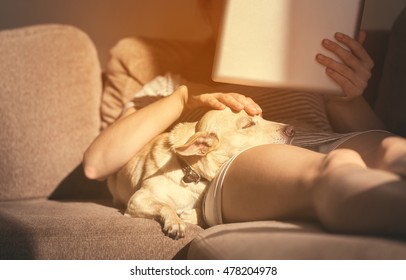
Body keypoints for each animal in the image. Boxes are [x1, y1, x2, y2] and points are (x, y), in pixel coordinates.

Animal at [106, 107, 294, 238]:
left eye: (262, 117)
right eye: (247, 125)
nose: (292, 129)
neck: (190, 171)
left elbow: (202, 214)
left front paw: (189, 216)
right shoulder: (138, 199)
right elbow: (166, 205)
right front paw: (175, 221)